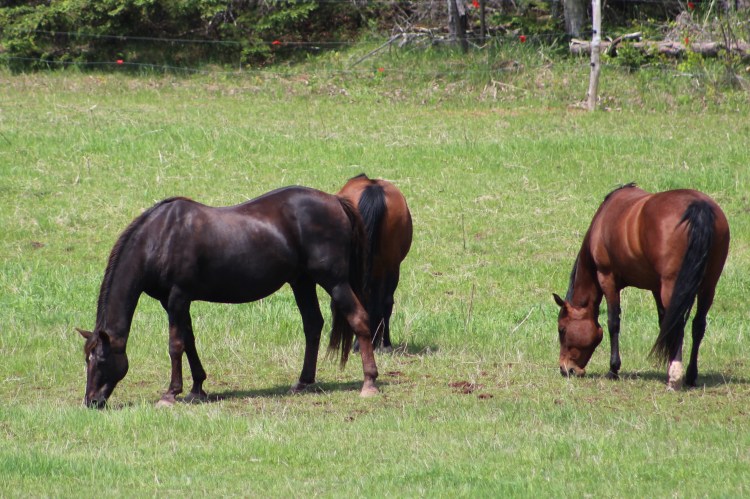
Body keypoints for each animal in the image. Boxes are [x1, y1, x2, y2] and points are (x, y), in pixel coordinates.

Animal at [76, 186, 379, 409]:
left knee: (359, 319)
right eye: (86, 360)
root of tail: (335, 201)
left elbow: (175, 345)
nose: (91, 401)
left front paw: (171, 393)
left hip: (334, 281)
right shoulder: (175, 302)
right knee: (313, 325)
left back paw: (369, 382)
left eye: (100, 360)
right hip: (302, 281)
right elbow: (189, 340)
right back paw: (304, 381)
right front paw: (197, 388)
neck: (159, 238)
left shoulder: (177, 298)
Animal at [553, 183, 729, 390]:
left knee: (679, 325)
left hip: (673, 286)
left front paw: (613, 369)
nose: (566, 369)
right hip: (708, 286)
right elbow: (664, 323)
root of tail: (699, 206)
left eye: (562, 330)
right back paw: (691, 375)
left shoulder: (607, 278)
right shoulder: (656, 287)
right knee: (697, 325)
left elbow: (613, 322)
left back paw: (675, 377)